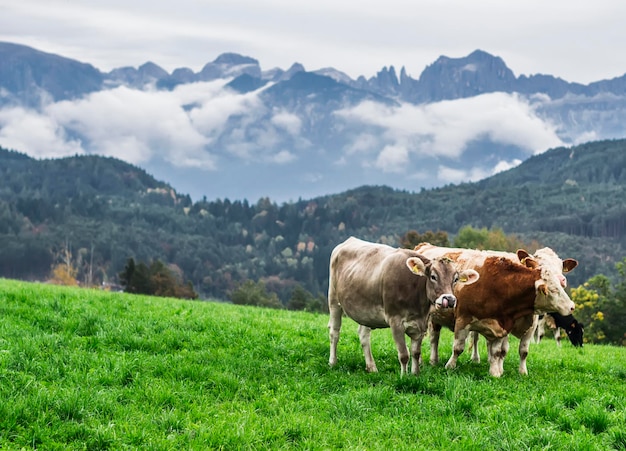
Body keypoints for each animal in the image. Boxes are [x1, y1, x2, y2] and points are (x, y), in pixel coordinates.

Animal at [326, 238, 478, 376]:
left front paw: (415, 374)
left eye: (455, 279)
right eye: (433, 276)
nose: (449, 299)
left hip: (365, 312)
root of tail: (349, 240)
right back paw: (332, 362)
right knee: (334, 332)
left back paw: (371, 367)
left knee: (364, 336)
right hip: (333, 301)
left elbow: (416, 353)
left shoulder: (420, 325)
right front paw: (403, 377)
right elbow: (404, 354)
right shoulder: (395, 322)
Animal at [414, 244, 576, 378]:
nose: (562, 280)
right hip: (431, 318)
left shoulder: (516, 326)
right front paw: (450, 367)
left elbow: (516, 351)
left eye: (561, 267)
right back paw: (432, 360)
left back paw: (476, 359)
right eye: (538, 264)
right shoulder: (463, 320)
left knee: (474, 338)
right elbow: (458, 347)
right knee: (433, 338)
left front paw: (515, 372)